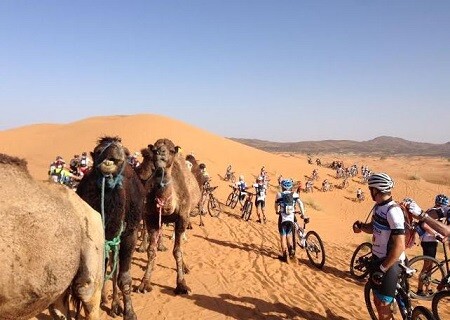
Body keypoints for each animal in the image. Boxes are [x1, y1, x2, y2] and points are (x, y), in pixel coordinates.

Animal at [76, 136, 144, 320]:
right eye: (98, 150)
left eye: (125, 152)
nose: (113, 150)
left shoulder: (130, 234)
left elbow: (124, 278)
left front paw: (129, 312)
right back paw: (107, 301)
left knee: (114, 267)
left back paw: (114, 305)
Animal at [137, 138, 200, 296]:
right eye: (154, 149)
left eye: (171, 150)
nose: (160, 153)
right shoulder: (151, 218)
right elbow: (151, 251)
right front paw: (144, 283)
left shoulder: (182, 218)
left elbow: (177, 251)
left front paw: (182, 284)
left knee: (180, 245)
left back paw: (185, 267)